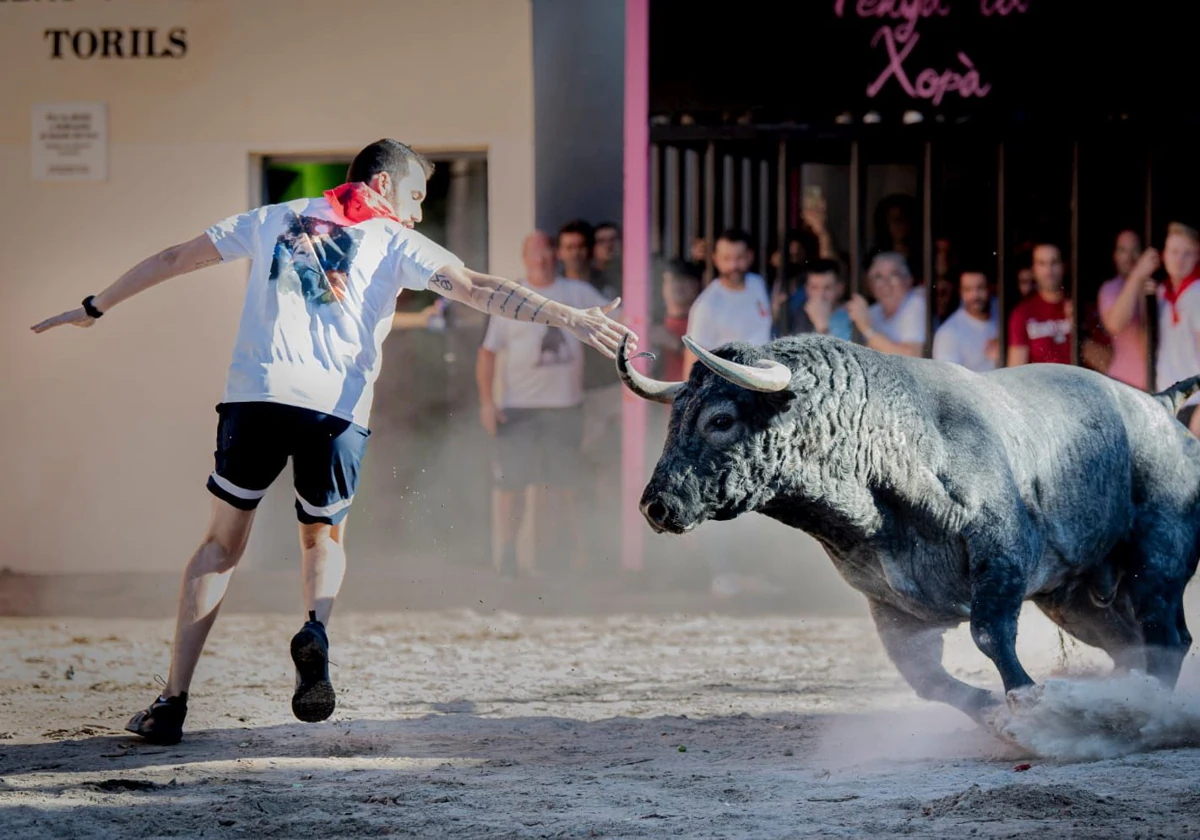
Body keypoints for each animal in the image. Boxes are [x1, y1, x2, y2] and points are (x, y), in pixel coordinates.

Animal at [619, 333, 1200, 720]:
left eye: (720, 419)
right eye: (674, 420)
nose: (655, 507)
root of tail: (1157, 404)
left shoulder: (1002, 557)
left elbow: (989, 633)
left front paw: (1026, 699)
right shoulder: (890, 605)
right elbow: (926, 678)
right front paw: (989, 708)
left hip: (1157, 565)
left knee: (1167, 637)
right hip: (1076, 600)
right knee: (1130, 645)